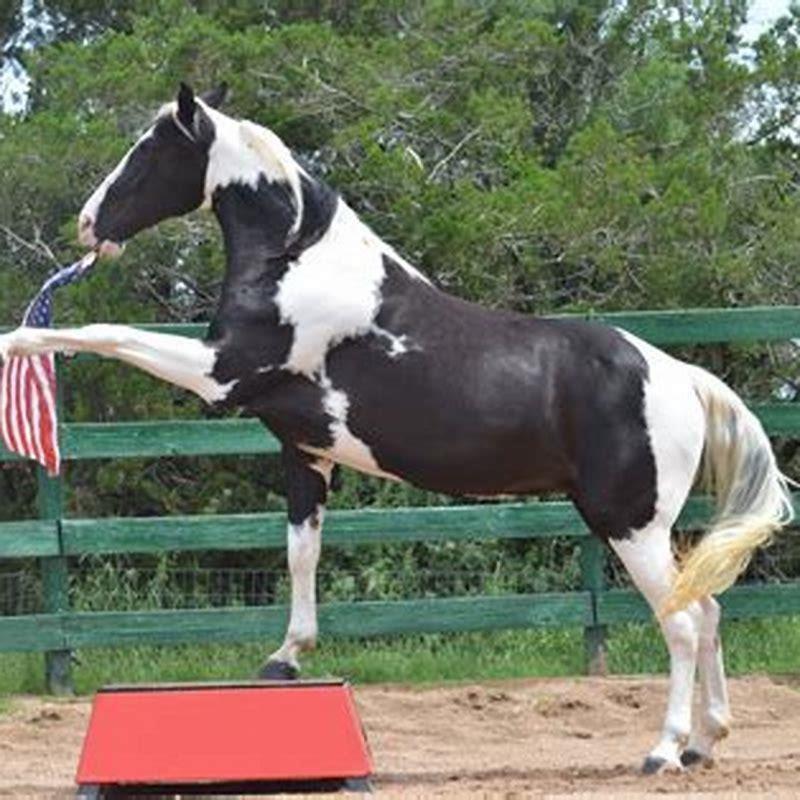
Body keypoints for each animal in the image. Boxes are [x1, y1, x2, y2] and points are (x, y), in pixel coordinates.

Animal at [0, 83, 792, 774]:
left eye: (150, 149)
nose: (87, 226)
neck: (297, 261)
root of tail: (680, 377)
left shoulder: (217, 372)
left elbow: (108, 333)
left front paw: (17, 341)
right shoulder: (306, 454)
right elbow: (301, 556)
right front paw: (285, 659)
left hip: (628, 524)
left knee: (682, 624)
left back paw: (663, 751)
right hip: (648, 528)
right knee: (710, 611)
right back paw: (706, 743)